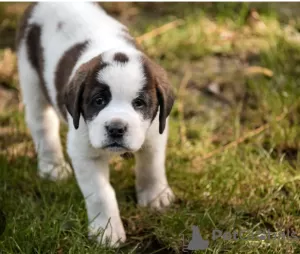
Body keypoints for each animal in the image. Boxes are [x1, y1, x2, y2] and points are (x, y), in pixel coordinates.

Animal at [16, 1, 175, 247]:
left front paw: (155, 196)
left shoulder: (154, 133)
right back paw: (52, 167)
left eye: (139, 103)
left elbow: (152, 165)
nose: (116, 128)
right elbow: (102, 193)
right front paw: (106, 232)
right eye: (99, 101)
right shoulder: (84, 153)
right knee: (42, 124)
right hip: (30, 75)